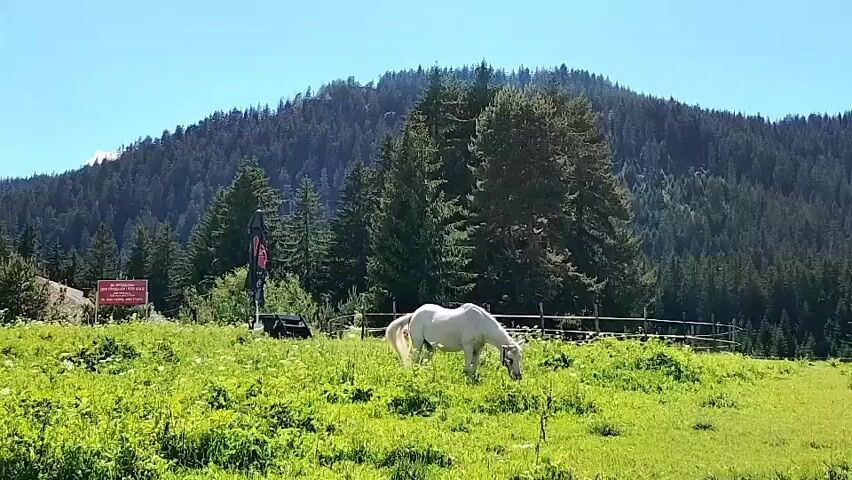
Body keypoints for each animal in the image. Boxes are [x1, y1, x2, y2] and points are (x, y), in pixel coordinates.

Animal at [385, 303, 523, 381]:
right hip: (417, 344)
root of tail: (414, 314)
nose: (518, 377)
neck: (479, 323)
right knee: (414, 360)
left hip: (429, 346)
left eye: (519, 358)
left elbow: (474, 367)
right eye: (510, 359)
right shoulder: (468, 347)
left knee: (423, 361)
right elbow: (467, 368)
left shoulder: (477, 349)